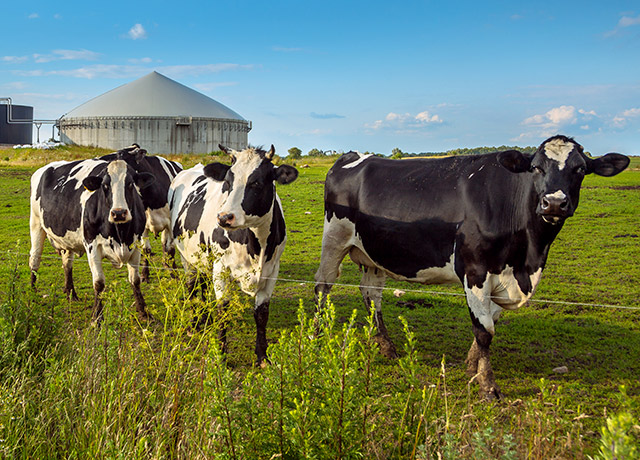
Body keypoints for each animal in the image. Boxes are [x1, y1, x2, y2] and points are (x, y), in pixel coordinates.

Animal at [28, 155, 156, 320]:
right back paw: (32, 293)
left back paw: (71, 293)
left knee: (67, 263)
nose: (119, 213)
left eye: (129, 184)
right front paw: (97, 316)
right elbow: (99, 283)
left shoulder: (136, 244)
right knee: (35, 259)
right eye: (105, 186)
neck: (120, 234)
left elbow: (135, 280)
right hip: (36, 224)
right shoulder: (92, 246)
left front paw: (144, 312)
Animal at [100, 145, 184, 280]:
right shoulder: (143, 225)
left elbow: (170, 248)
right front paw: (145, 274)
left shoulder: (171, 223)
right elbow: (146, 250)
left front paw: (174, 273)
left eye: (120, 154)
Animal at [170, 144, 300, 362]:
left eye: (256, 182)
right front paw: (221, 355)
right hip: (186, 256)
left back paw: (204, 317)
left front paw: (262, 356)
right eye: (228, 182)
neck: (256, 246)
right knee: (191, 286)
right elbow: (223, 309)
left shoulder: (272, 271)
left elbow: (262, 314)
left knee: (202, 284)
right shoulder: (221, 269)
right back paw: (194, 323)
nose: (224, 217)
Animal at [316, 134, 632, 398]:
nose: (554, 203)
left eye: (580, 169)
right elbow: (485, 330)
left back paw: (385, 345)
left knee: (371, 294)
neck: (527, 258)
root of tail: (354, 155)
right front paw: (488, 385)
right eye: (536, 168)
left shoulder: (503, 277)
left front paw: (473, 365)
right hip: (334, 238)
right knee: (323, 284)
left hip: (372, 253)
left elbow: (491, 320)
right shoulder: (475, 270)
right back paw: (317, 334)